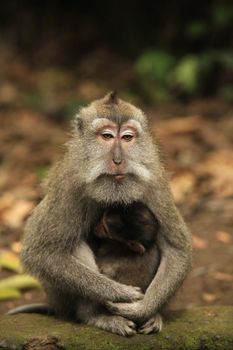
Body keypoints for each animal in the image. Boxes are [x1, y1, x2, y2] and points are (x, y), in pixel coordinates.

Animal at [19, 91, 191, 334]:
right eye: (107, 136)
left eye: (127, 138)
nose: (118, 160)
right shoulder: (68, 184)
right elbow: (42, 253)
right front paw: (120, 293)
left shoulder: (155, 181)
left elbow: (177, 250)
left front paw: (143, 308)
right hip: (60, 297)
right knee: (73, 244)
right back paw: (95, 316)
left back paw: (153, 315)